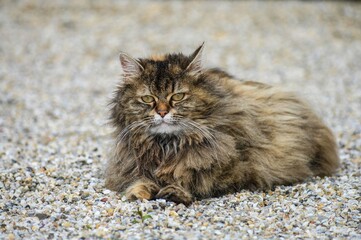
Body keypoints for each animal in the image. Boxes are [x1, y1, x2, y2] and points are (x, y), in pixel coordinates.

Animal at [103, 43, 338, 204]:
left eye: (178, 96)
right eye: (147, 99)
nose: (162, 112)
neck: (167, 146)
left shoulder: (235, 168)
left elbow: (193, 179)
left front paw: (175, 191)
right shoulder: (132, 165)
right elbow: (138, 180)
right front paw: (140, 191)